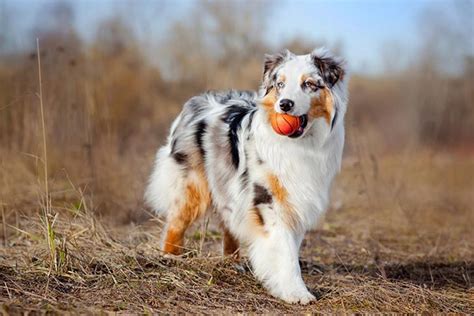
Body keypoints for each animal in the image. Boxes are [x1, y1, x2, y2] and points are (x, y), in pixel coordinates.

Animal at [144, 47, 348, 304]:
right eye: (280, 84)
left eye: (309, 84)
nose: (285, 104)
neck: (300, 145)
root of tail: (196, 101)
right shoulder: (268, 199)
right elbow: (285, 251)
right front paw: (296, 292)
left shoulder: (296, 200)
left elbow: (290, 247)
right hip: (193, 185)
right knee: (176, 222)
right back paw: (170, 257)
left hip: (228, 186)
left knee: (228, 223)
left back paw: (233, 262)